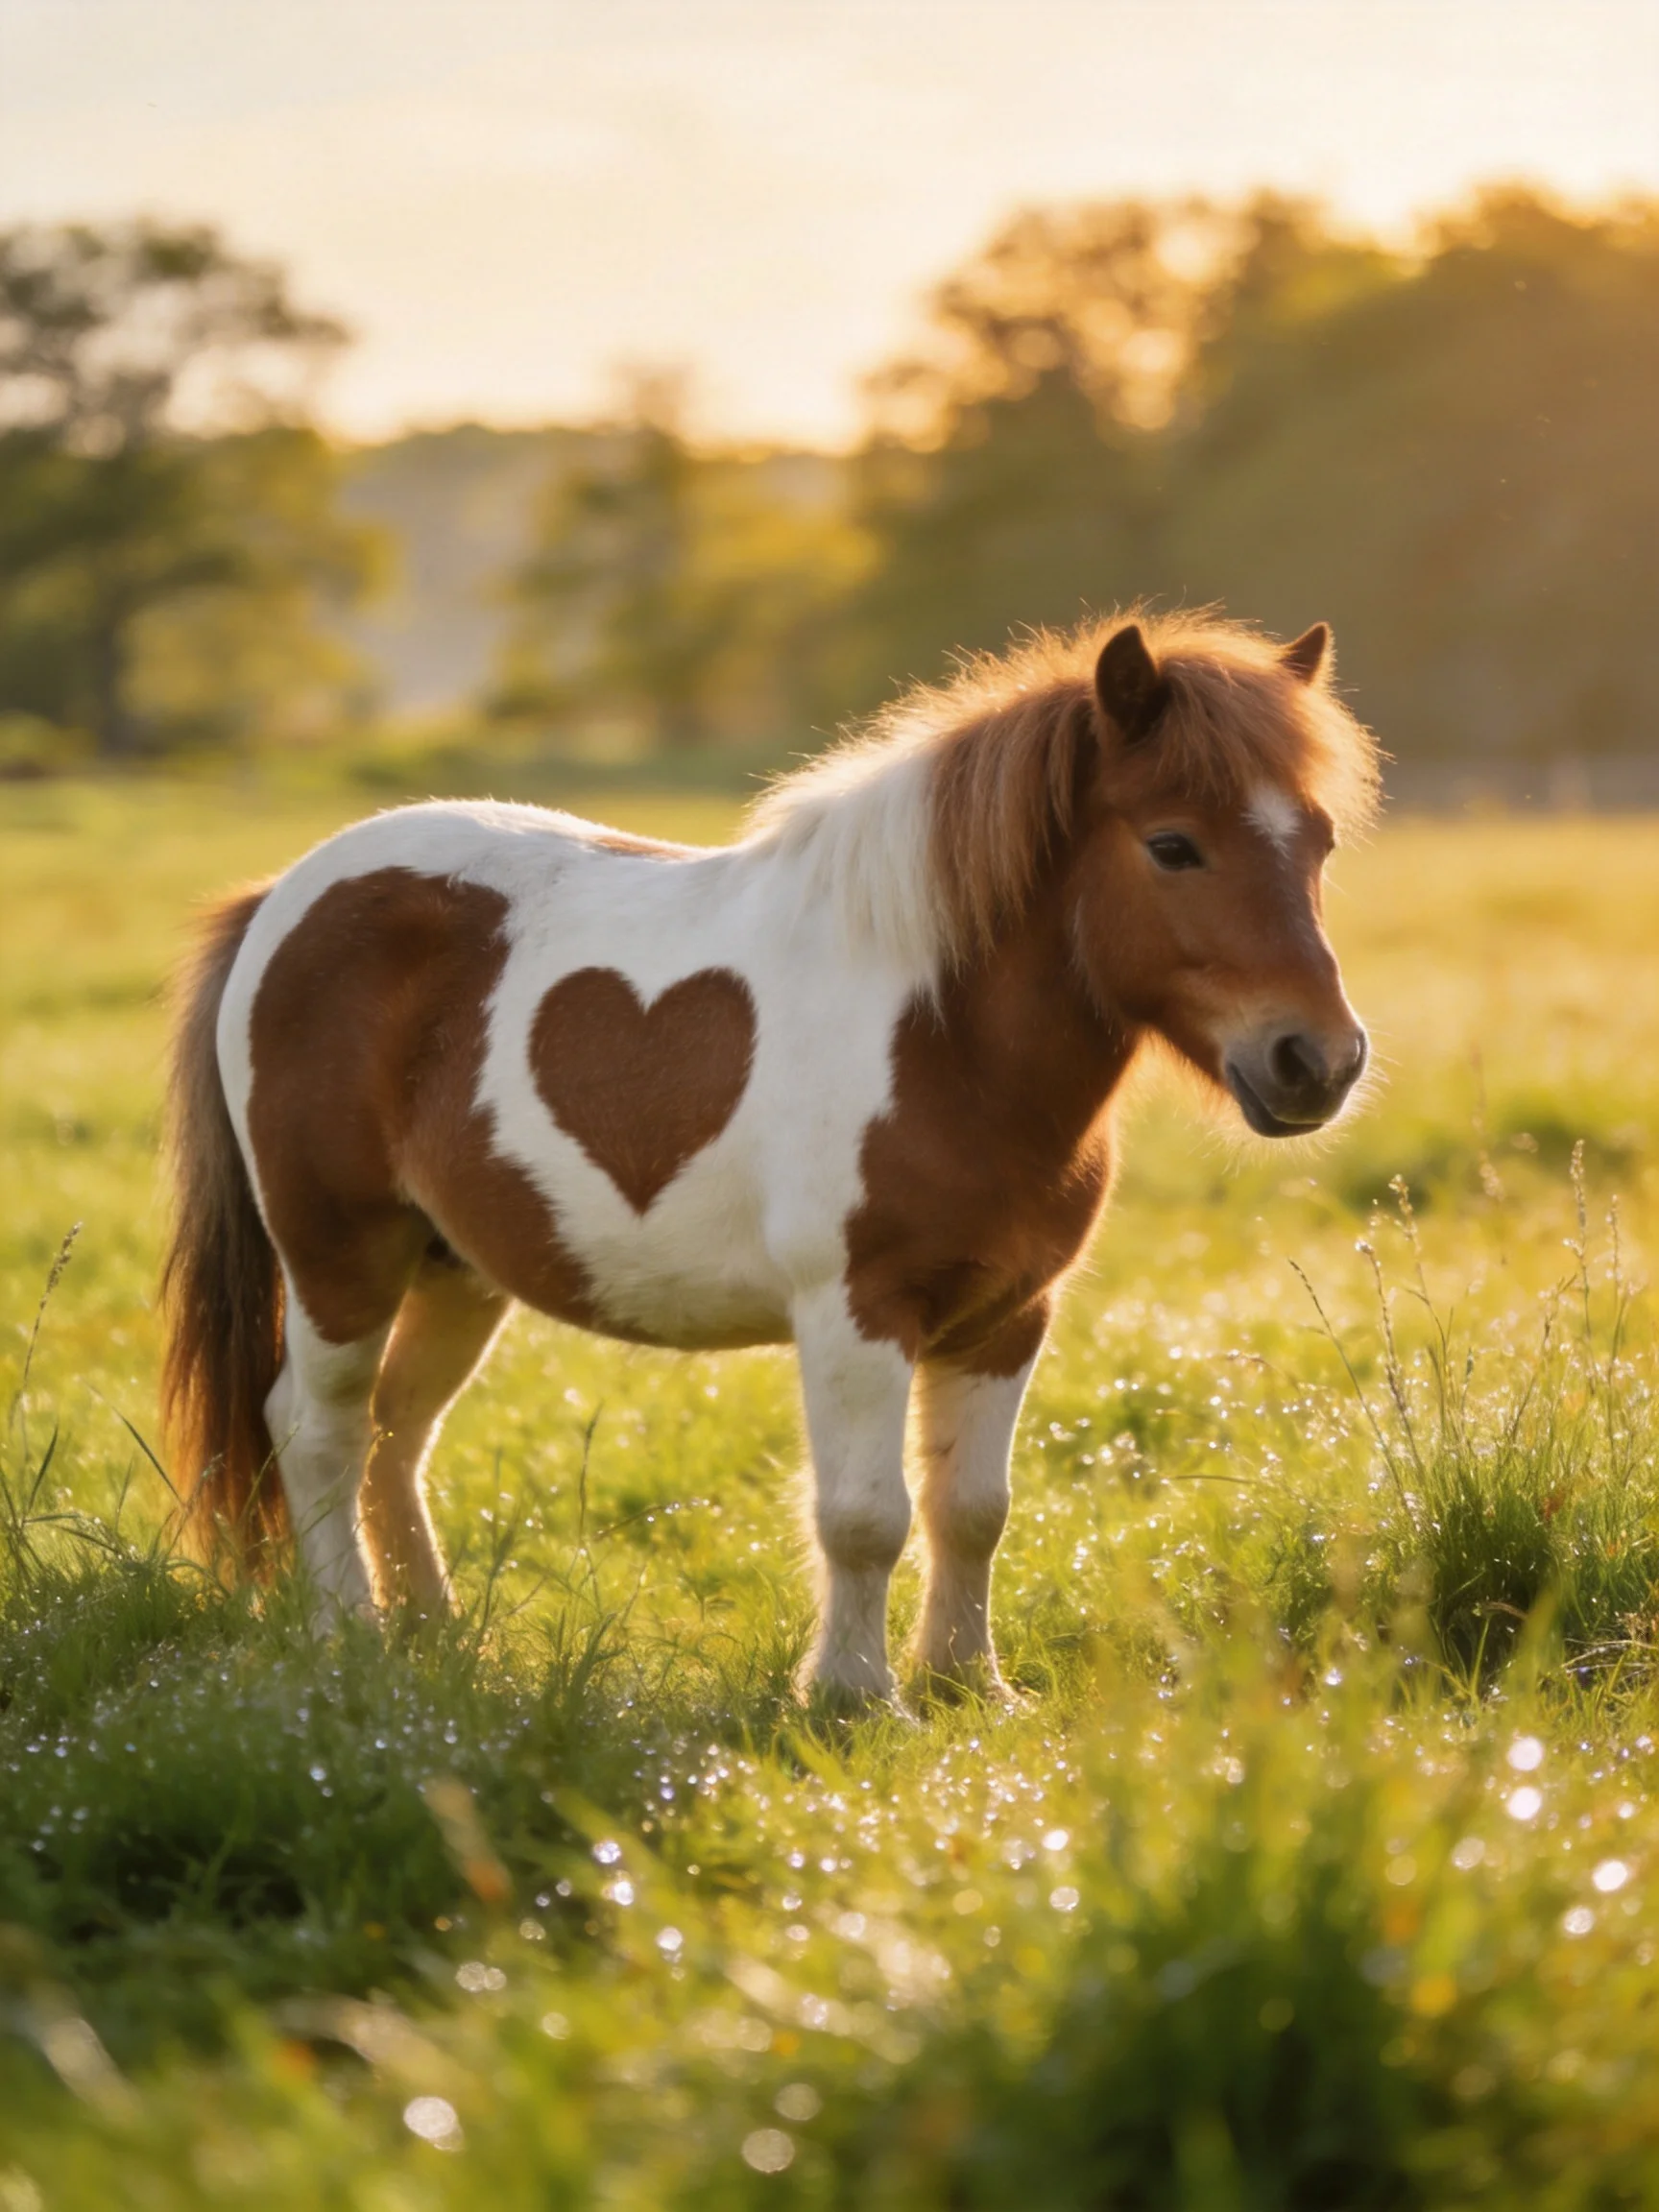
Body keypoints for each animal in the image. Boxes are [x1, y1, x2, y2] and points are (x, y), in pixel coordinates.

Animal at [161, 611, 1377, 1706]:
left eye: (1320, 843)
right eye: (1173, 844)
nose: (1316, 1060)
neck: (942, 1035)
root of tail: (282, 899)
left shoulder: (1007, 1316)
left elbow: (971, 1511)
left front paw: (968, 1685)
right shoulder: (857, 1308)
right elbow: (866, 1517)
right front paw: (854, 1696)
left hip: (454, 1267)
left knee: (394, 1435)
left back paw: (439, 1640)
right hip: (339, 1255)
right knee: (316, 1430)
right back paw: (352, 1639)